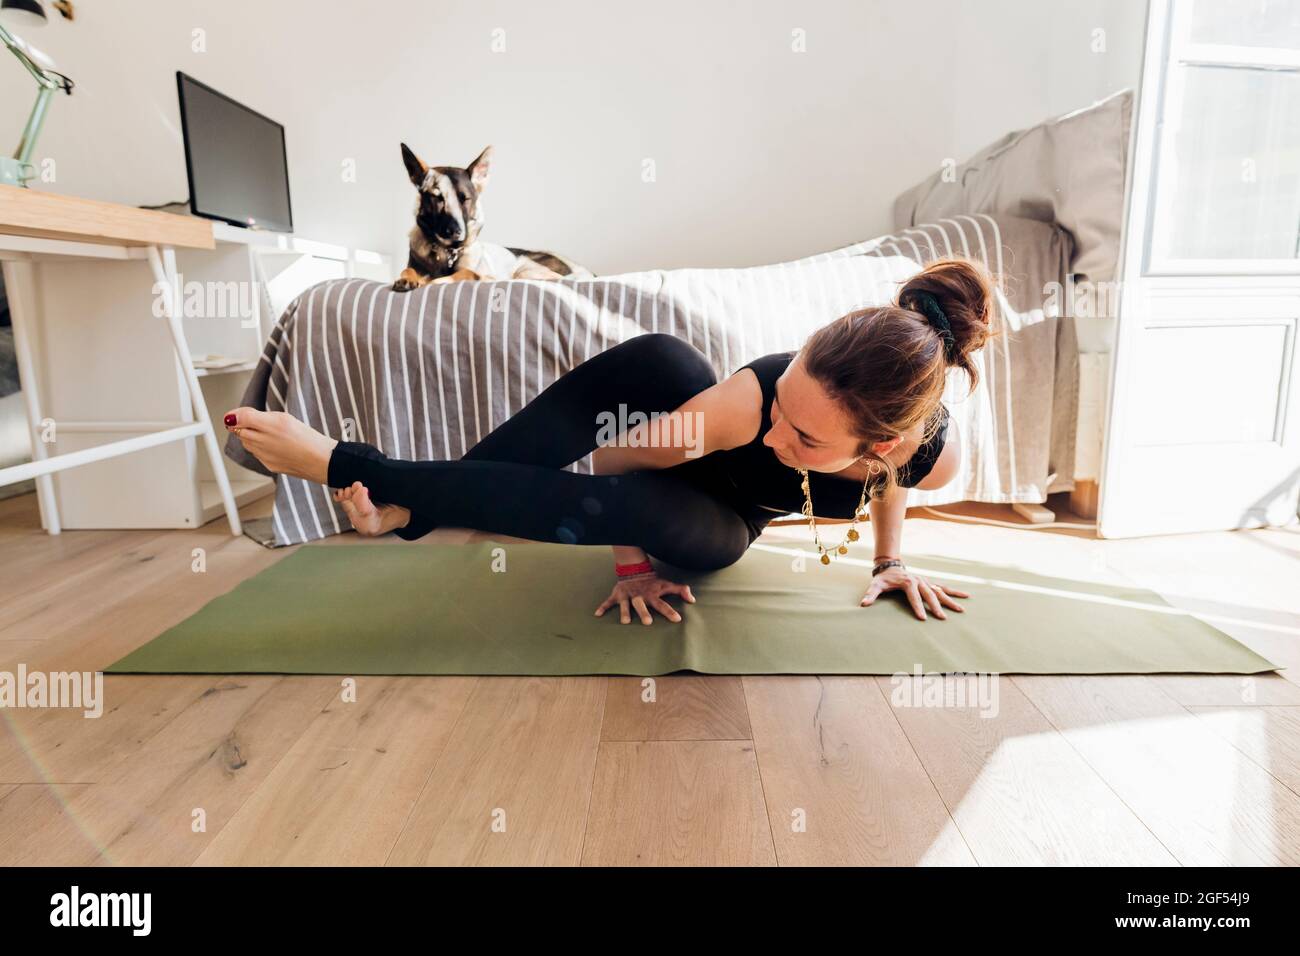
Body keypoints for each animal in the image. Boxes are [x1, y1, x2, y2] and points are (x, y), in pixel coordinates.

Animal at [392, 143, 592, 291]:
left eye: (465, 199)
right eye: (437, 197)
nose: (455, 232)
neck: (447, 252)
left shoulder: (480, 273)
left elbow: (464, 273)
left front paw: (434, 281)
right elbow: (407, 269)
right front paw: (408, 279)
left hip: (526, 271)